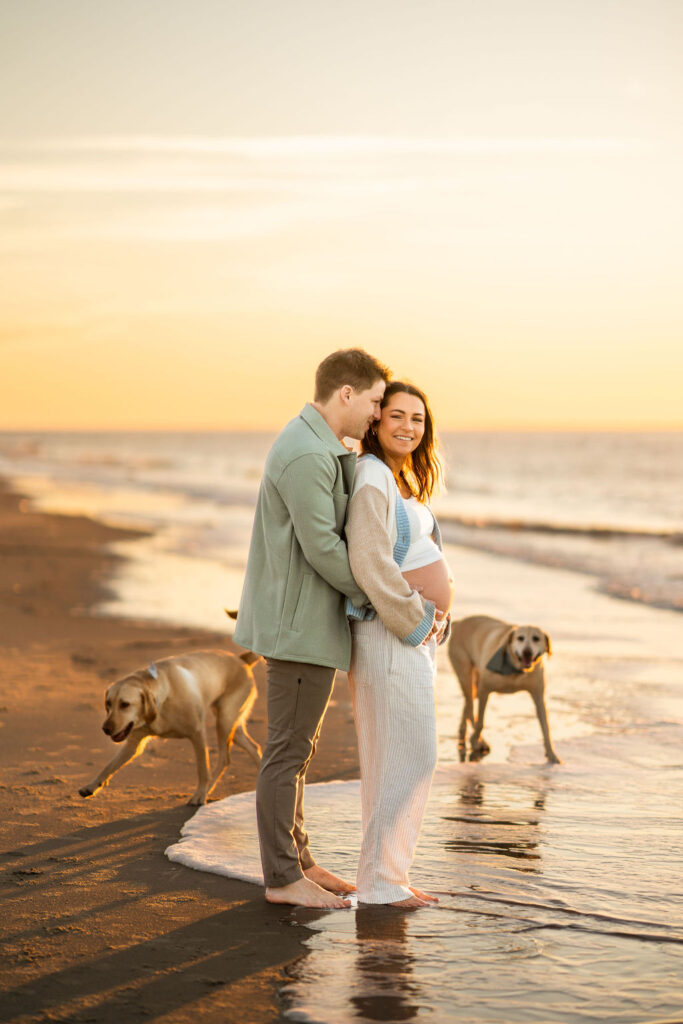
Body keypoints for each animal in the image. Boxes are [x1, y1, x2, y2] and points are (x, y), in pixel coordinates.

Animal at [78, 647, 264, 806]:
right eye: (108, 703)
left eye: (125, 704)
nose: (105, 729)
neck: (162, 699)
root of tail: (241, 659)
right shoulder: (133, 744)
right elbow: (109, 765)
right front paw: (91, 786)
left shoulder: (197, 733)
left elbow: (202, 769)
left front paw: (199, 795)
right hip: (232, 726)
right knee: (254, 747)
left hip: (224, 721)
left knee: (224, 758)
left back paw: (209, 788)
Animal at [448, 610, 561, 765]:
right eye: (520, 638)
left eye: (536, 638)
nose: (527, 652)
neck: (515, 669)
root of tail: (459, 622)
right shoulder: (485, 689)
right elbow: (481, 722)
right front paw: (475, 741)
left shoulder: (538, 696)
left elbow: (545, 727)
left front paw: (551, 754)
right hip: (465, 673)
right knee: (470, 706)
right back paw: (476, 740)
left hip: (474, 682)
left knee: (467, 706)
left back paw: (465, 734)